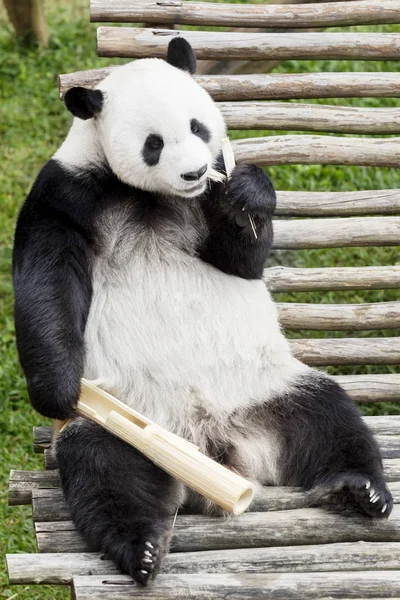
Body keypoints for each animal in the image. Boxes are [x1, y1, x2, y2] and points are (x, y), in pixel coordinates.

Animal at [14, 37, 392, 584]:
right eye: (153, 143)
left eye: (198, 127)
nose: (194, 172)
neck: (151, 195)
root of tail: (218, 448)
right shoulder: (67, 193)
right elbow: (47, 280)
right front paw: (59, 390)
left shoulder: (210, 197)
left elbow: (242, 260)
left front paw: (249, 195)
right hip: (130, 414)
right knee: (105, 470)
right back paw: (140, 548)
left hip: (266, 387)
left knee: (329, 417)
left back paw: (360, 489)